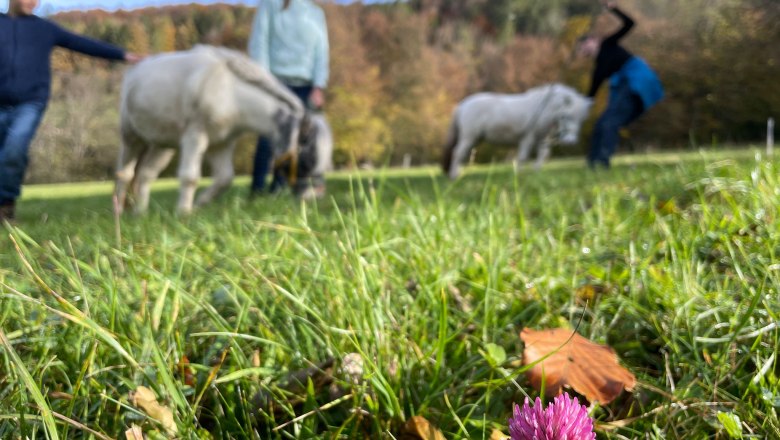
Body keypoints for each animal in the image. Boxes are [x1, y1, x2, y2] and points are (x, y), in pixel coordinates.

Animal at [114, 45, 328, 214]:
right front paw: (183, 214)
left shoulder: (221, 144)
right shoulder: (195, 137)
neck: (230, 94)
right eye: (306, 162)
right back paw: (118, 211)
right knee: (125, 174)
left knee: (145, 175)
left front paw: (199, 204)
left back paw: (140, 213)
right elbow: (190, 176)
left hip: (162, 145)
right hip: (131, 137)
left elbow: (225, 178)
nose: (312, 198)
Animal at [442, 82, 588, 179]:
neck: (542, 109)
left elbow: (544, 154)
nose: (570, 142)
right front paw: (518, 174)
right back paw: (453, 175)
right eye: (566, 116)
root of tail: (462, 105)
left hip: (474, 138)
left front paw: (537, 171)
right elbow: (523, 157)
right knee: (457, 153)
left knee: (461, 154)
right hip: (469, 137)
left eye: (581, 119)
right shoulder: (528, 137)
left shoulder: (541, 138)